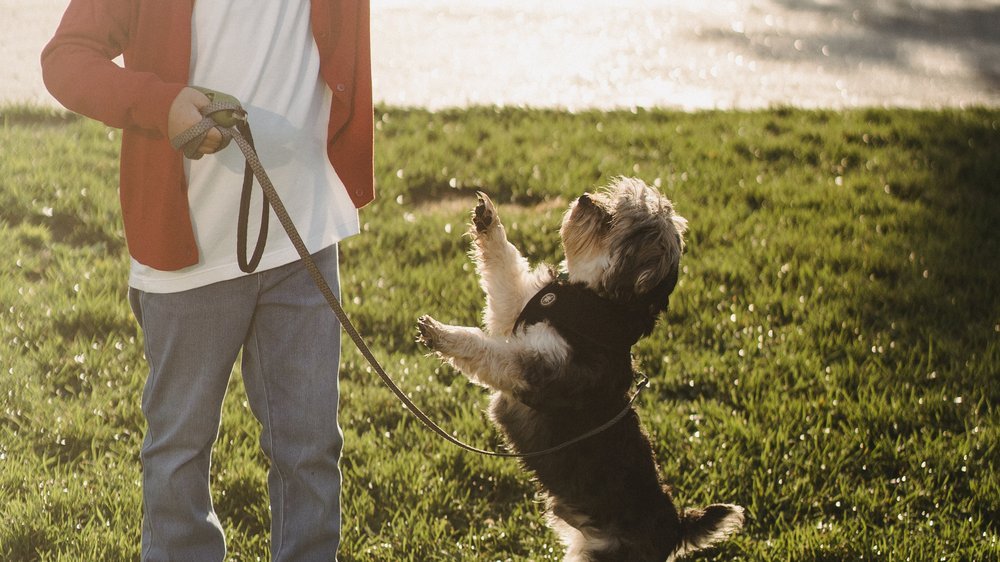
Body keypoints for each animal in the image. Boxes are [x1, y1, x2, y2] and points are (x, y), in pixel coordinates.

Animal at [414, 176, 744, 560]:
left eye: (612, 222)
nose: (586, 198)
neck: (592, 305)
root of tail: (676, 528)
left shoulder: (534, 369)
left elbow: (485, 350)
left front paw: (442, 334)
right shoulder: (513, 315)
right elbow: (504, 270)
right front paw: (488, 221)